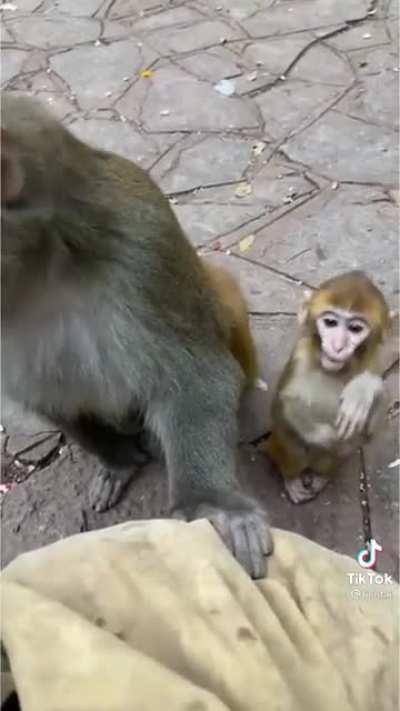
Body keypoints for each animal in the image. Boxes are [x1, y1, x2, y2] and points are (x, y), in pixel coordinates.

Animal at [1, 92, 272, 578]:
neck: (35, 270)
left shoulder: (141, 251)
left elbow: (196, 375)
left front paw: (212, 503)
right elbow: (43, 394)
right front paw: (118, 460)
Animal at [259, 271, 392, 504]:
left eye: (355, 328)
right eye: (330, 323)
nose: (337, 346)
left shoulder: (373, 363)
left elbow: (368, 435)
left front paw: (363, 389)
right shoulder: (300, 354)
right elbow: (281, 408)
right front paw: (327, 438)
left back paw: (322, 476)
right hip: (277, 449)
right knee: (291, 441)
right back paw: (292, 478)